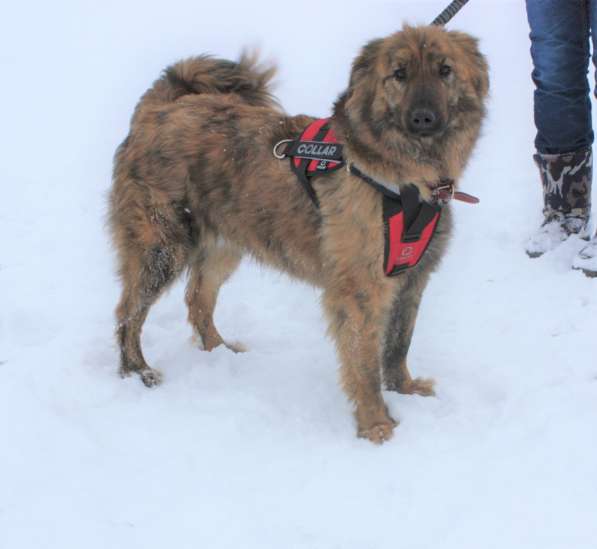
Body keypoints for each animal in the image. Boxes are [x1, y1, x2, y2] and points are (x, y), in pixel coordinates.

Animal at [108, 26, 488, 446]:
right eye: (399, 74)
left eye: (444, 70)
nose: (423, 118)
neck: (402, 180)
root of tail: (157, 110)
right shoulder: (360, 290)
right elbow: (364, 362)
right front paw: (375, 424)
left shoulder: (411, 278)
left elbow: (398, 345)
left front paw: (404, 390)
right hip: (162, 246)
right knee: (129, 311)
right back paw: (137, 371)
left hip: (224, 243)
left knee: (197, 300)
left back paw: (219, 351)